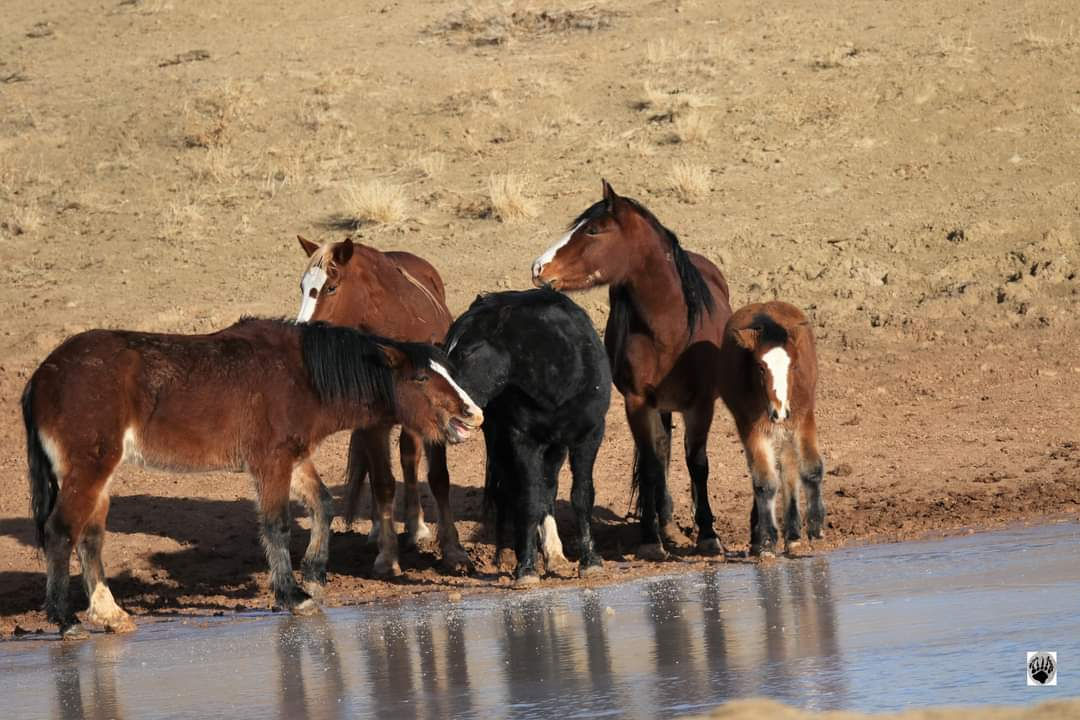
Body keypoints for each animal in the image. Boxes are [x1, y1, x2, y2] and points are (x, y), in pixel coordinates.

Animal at [21, 317, 482, 638]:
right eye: (421, 377)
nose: (473, 414)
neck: (300, 376)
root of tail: (44, 375)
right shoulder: (270, 462)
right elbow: (276, 524)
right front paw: (293, 595)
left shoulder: (293, 458)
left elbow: (322, 505)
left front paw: (314, 576)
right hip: (88, 469)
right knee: (61, 532)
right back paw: (66, 620)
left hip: (98, 476)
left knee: (90, 538)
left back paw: (109, 614)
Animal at [295, 236, 472, 572]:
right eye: (302, 286)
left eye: (330, 288)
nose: (300, 333)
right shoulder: (373, 423)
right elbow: (383, 483)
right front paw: (387, 555)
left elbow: (438, 478)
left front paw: (453, 550)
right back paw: (378, 530)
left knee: (409, 457)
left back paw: (416, 527)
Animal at [444, 289, 610, 582]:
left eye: (468, 352)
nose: (450, 414)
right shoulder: (522, 440)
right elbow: (530, 500)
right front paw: (526, 568)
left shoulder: (589, 435)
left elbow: (581, 495)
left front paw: (590, 561)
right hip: (501, 441)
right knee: (513, 489)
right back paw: (511, 553)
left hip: (556, 447)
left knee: (548, 487)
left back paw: (555, 555)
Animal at [532, 180, 734, 560]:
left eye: (594, 230)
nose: (538, 268)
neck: (670, 328)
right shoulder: (638, 403)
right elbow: (653, 466)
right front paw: (651, 540)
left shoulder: (701, 404)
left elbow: (697, 463)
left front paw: (708, 534)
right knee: (661, 453)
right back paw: (662, 524)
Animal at [717, 301, 825, 555]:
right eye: (760, 367)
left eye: (793, 366)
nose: (780, 411)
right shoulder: (751, 428)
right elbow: (764, 483)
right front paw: (766, 541)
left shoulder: (803, 418)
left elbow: (811, 469)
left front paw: (816, 528)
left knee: (789, 468)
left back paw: (793, 534)